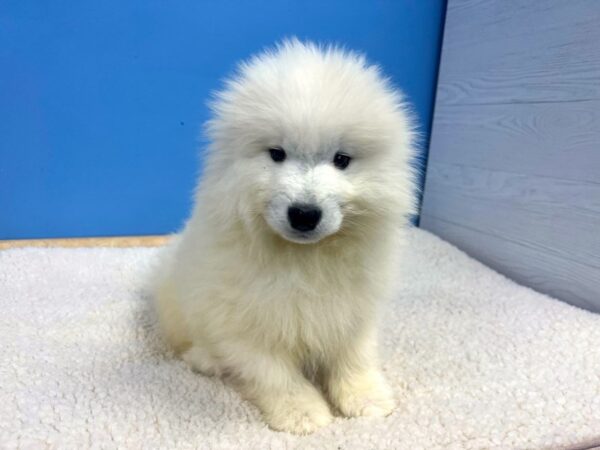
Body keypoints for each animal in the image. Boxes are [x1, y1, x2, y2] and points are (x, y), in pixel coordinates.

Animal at [154, 40, 418, 434]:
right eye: (277, 154)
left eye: (341, 159)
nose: (305, 213)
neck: (304, 258)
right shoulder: (244, 325)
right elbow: (276, 375)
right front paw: (303, 413)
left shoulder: (355, 308)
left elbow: (354, 355)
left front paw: (366, 399)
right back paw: (206, 359)